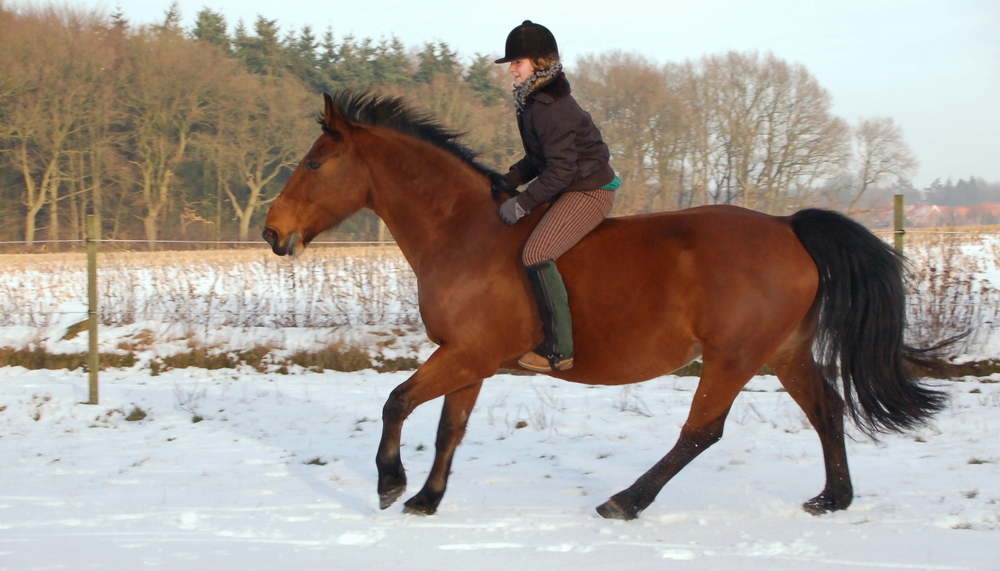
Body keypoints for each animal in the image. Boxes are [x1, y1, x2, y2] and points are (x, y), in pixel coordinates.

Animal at [260, 92, 944, 524]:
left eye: (315, 162)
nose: (272, 233)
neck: (463, 232)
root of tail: (788, 227)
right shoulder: (469, 359)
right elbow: (449, 427)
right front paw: (426, 500)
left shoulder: (467, 353)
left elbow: (397, 402)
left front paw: (389, 485)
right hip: (784, 353)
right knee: (826, 411)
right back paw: (833, 500)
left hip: (733, 357)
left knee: (701, 432)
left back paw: (625, 501)